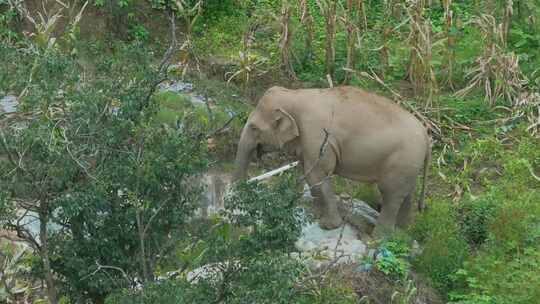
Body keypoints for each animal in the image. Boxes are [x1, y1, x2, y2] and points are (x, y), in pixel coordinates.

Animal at [232, 86, 430, 238]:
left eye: (254, 128)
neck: (295, 94)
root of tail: (427, 137)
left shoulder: (317, 135)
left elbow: (318, 175)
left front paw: (328, 225)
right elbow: (306, 170)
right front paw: (308, 208)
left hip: (402, 162)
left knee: (390, 195)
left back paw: (379, 238)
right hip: (409, 166)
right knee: (406, 194)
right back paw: (401, 232)